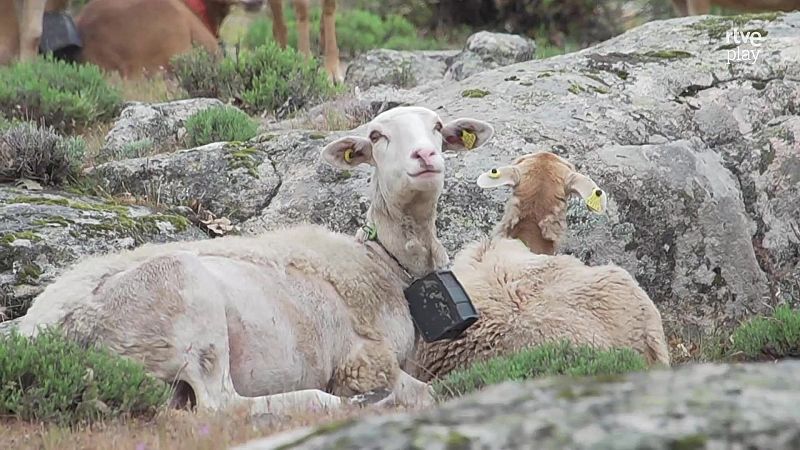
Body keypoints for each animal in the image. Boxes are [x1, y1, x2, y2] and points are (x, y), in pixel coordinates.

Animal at [17, 106, 496, 416]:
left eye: (438, 127)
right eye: (377, 137)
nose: (426, 156)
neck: (384, 263)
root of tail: (39, 332)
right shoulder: (362, 362)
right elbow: (431, 392)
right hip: (187, 301)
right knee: (219, 405)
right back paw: (337, 403)